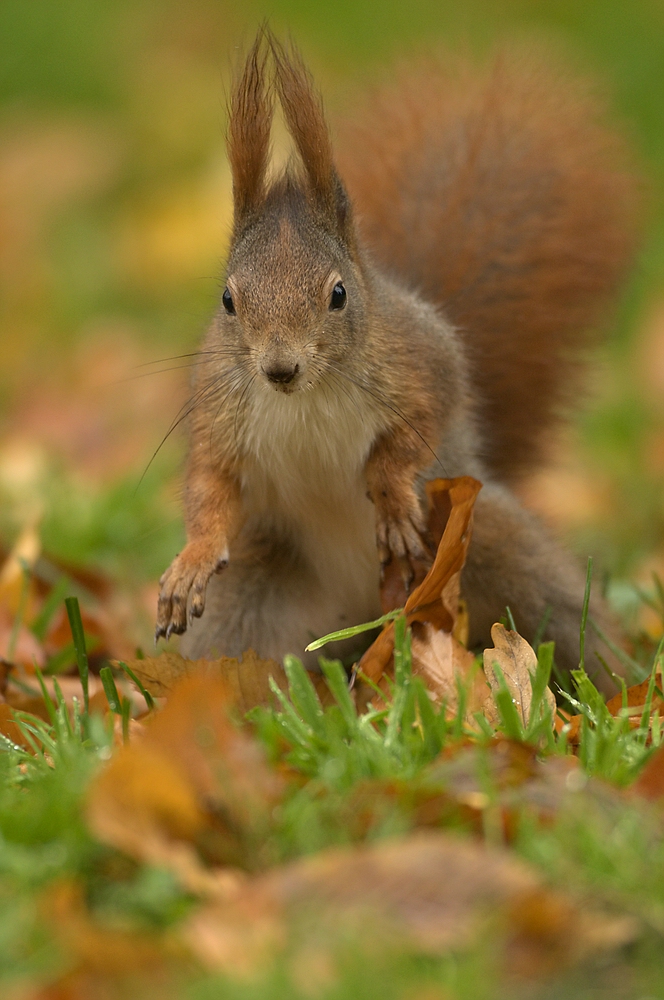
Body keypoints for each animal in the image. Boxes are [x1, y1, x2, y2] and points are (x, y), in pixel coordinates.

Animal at [156, 33, 640, 696]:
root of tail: (370, 617)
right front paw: (194, 558)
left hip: (498, 549)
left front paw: (388, 492)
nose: (279, 369)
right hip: (252, 604)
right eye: (229, 301)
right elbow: (211, 484)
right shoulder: (218, 408)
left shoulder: (423, 366)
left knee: (568, 623)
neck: (307, 396)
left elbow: (419, 430)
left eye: (338, 294)